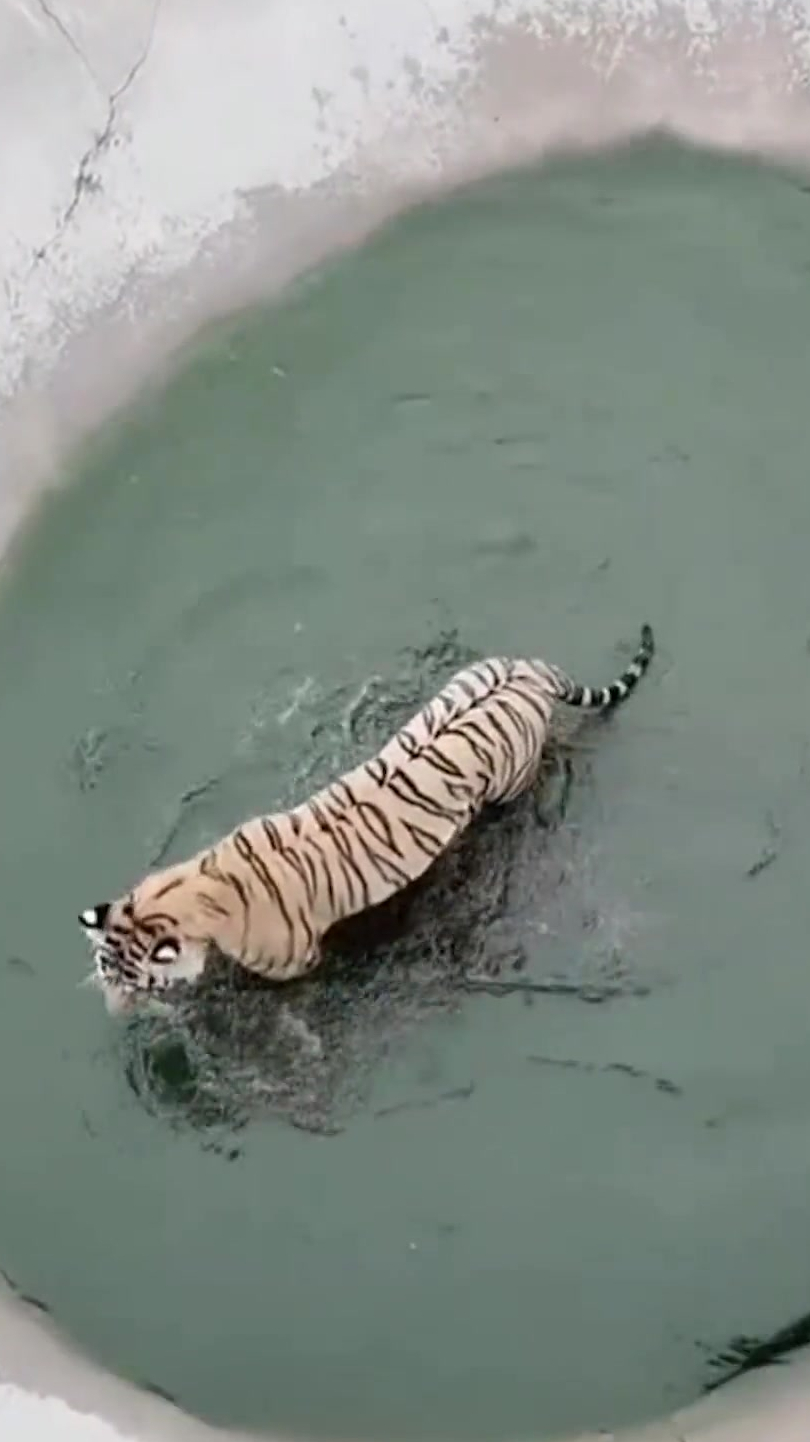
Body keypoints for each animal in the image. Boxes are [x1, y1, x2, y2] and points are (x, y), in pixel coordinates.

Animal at [79, 623, 654, 1011]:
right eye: (104, 968)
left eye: (132, 981)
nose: (113, 1010)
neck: (199, 884)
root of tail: (529, 667)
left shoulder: (295, 963)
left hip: (514, 777)